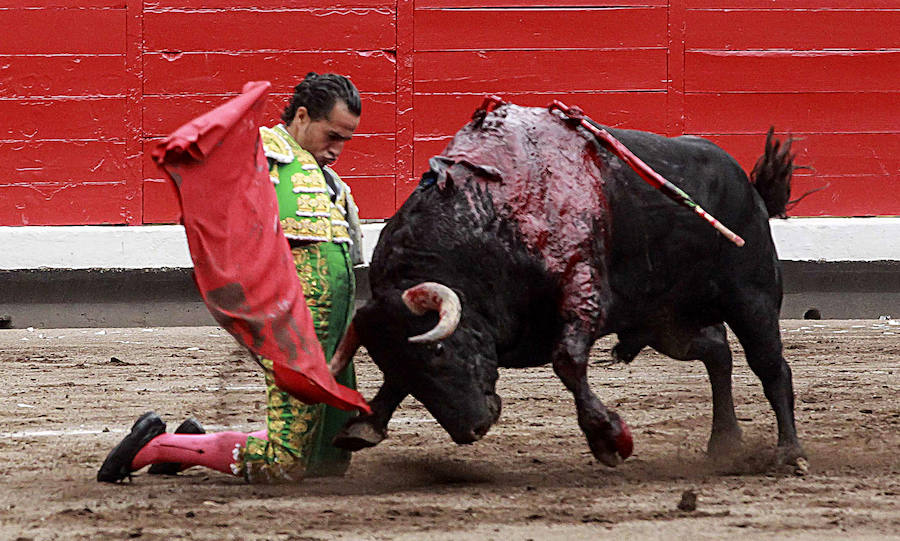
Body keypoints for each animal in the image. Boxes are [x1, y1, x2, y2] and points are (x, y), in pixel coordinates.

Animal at [328, 104, 800, 468]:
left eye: (440, 350)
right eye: (393, 363)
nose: (472, 428)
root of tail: (749, 186)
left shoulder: (582, 291)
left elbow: (568, 361)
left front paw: (610, 438)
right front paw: (362, 426)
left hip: (752, 299)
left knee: (772, 367)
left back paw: (788, 453)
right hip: (667, 325)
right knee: (717, 352)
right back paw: (724, 442)